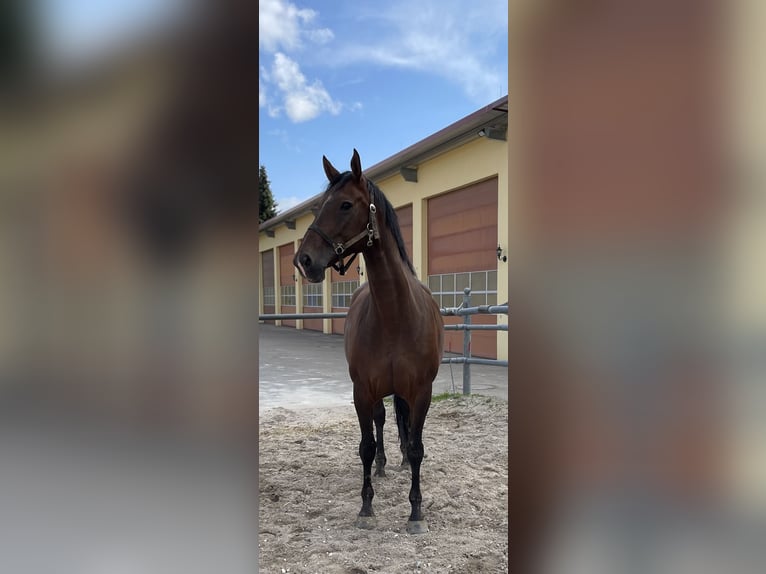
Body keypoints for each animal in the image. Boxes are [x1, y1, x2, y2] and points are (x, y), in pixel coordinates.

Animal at [294, 149, 444, 534]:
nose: (303, 261)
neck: (394, 316)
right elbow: (365, 444)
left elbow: (418, 447)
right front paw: (366, 507)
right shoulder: (361, 390)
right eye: (318, 207)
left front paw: (416, 513)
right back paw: (382, 464)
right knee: (380, 421)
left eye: (346, 205)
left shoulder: (422, 392)